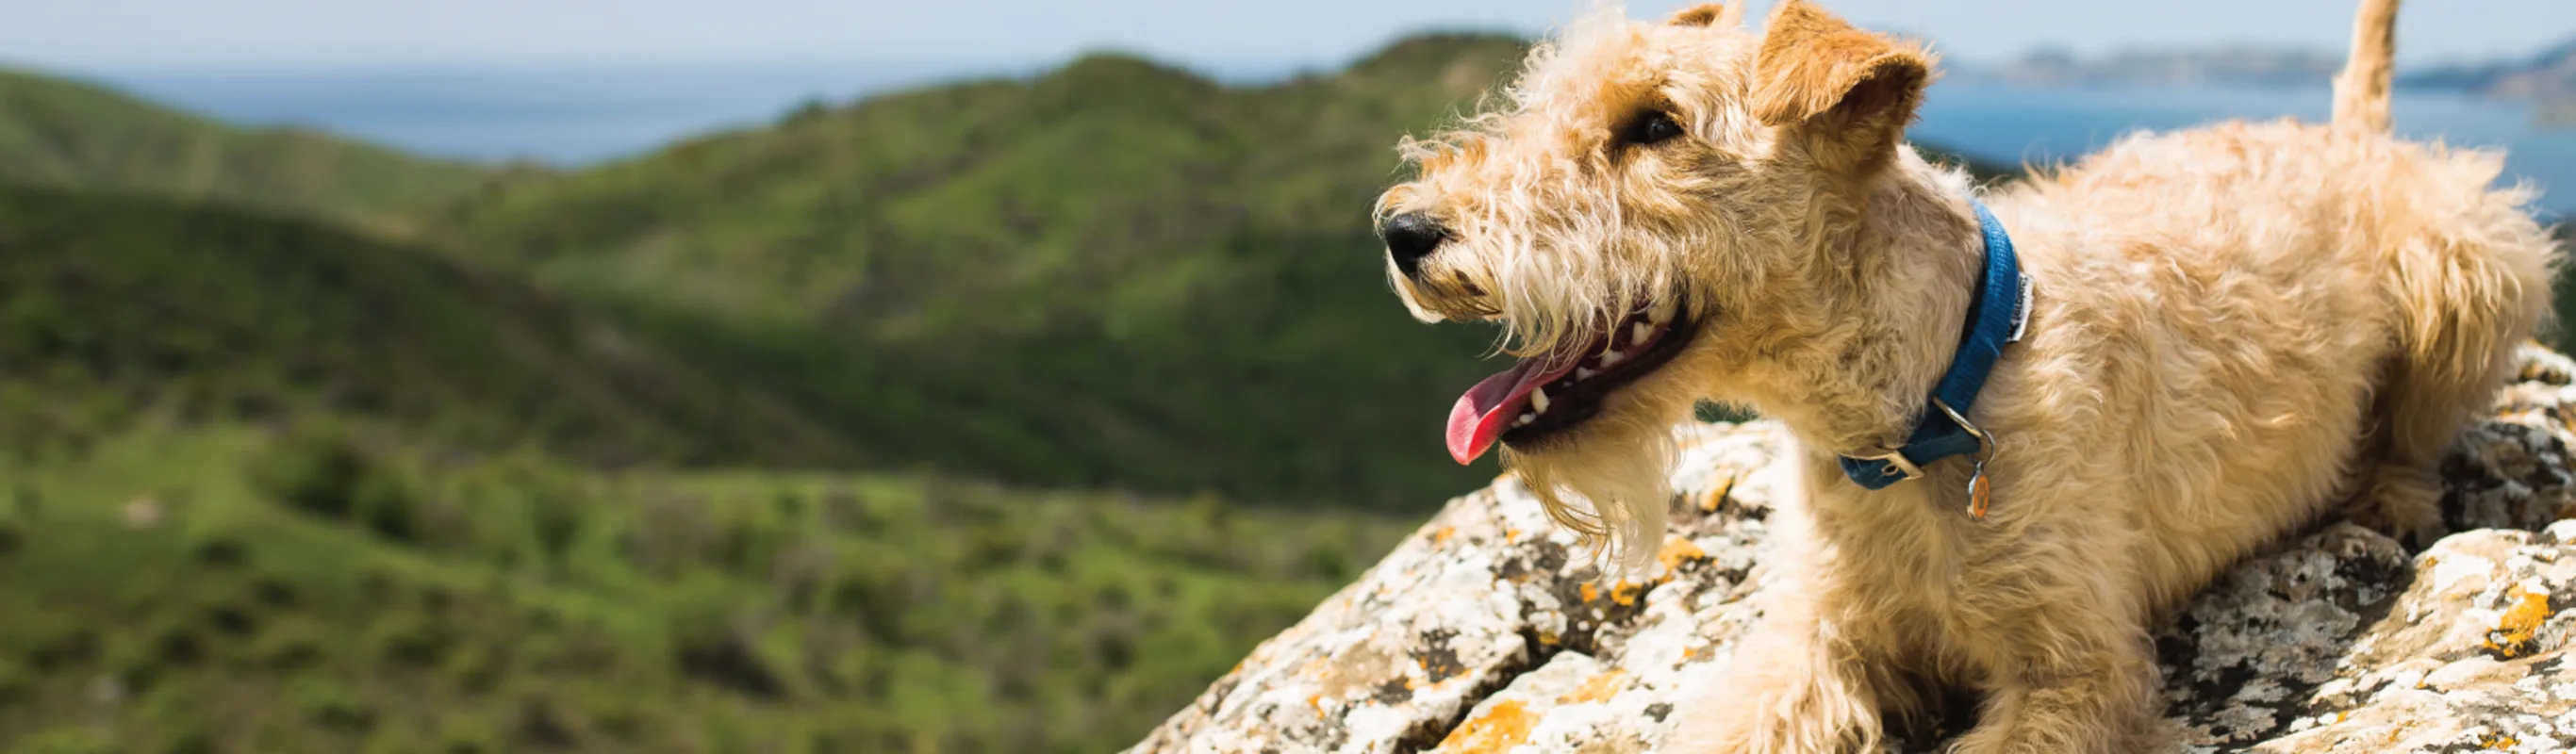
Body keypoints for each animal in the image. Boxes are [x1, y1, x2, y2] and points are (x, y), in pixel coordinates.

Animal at [1370, 0, 2555, 746]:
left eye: (1654, 124)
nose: (1401, 229)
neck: (1916, 408)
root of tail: (2348, 138)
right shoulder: (1816, 639)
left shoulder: (2075, 669)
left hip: (2472, 257)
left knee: (2422, 426)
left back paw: (2387, 494)